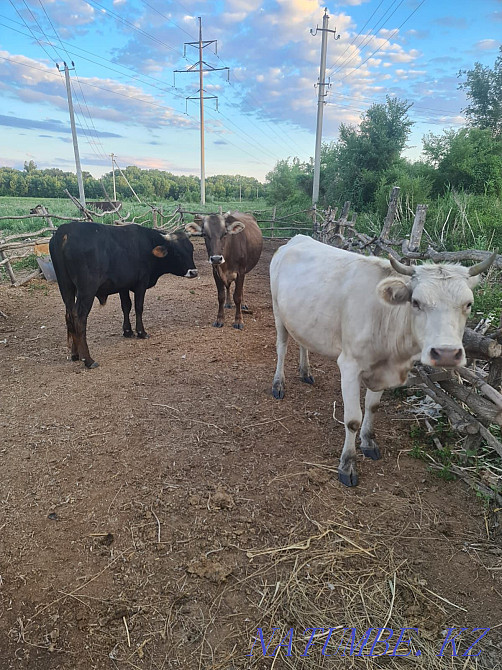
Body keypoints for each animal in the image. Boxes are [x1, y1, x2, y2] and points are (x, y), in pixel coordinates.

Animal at [49, 220, 198, 369]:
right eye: (177, 252)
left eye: (191, 250)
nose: (193, 272)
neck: (148, 243)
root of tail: (65, 231)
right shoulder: (141, 283)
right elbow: (138, 307)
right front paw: (141, 332)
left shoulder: (123, 286)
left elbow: (126, 306)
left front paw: (127, 331)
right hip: (86, 290)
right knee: (79, 317)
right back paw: (88, 359)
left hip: (66, 287)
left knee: (69, 315)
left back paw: (75, 354)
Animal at [270, 235, 496, 487]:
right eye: (415, 302)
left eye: (468, 304)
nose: (446, 353)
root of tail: (297, 238)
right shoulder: (349, 366)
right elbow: (352, 420)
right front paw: (347, 465)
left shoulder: (382, 371)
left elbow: (373, 407)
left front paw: (369, 442)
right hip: (278, 312)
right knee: (282, 347)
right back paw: (278, 384)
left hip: (302, 319)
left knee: (302, 342)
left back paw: (305, 372)